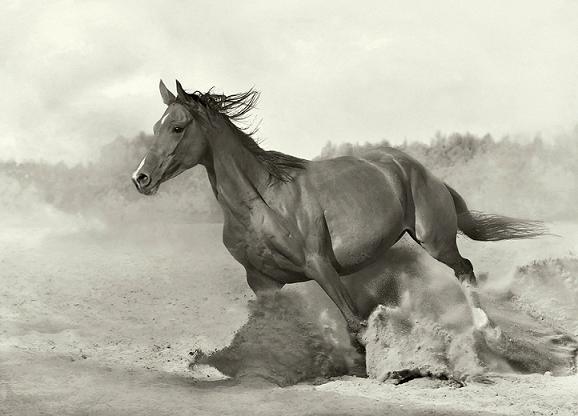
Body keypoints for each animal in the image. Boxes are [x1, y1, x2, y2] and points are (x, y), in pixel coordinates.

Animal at [130, 79, 544, 352]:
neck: (262, 203)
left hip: (435, 239)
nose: (140, 178)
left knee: (465, 269)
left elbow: (355, 323)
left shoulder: (320, 265)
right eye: (155, 126)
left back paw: (488, 332)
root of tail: (424, 171)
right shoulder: (262, 282)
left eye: (177, 127)